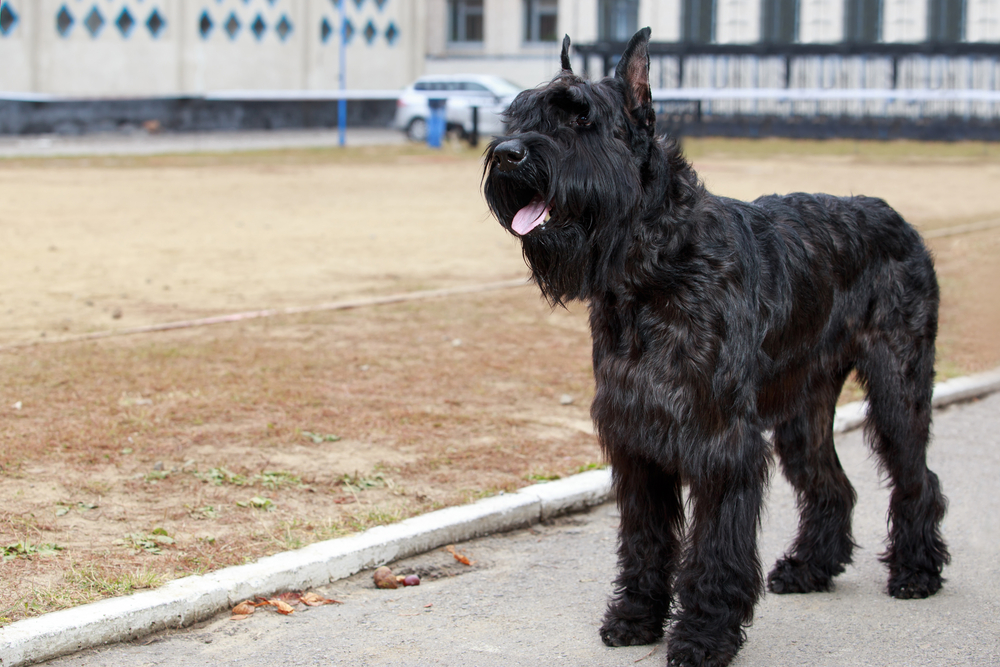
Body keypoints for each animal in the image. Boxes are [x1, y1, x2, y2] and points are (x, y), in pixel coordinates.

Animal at [480, 27, 948, 667]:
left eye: (581, 118)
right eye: (518, 115)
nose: (507, 154)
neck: (652, 269)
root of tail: (898, 219)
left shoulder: (720, 440)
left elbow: (712, 550)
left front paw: (702, 636)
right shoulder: (636, 435)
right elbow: (646, 540)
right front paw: (636, 617)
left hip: (899, 386)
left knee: (917, 479)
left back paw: (917, 572)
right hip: (802, 411)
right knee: (832, 485)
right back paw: (809, 568)